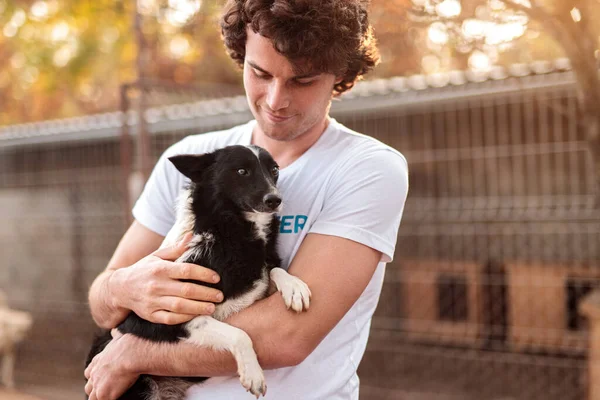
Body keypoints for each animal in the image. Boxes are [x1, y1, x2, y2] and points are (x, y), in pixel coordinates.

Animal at [89, 145, 314, 400]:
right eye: (241, 171)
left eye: (274, 169)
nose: (275, 199)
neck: (229, 232)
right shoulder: (167, 319)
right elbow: (239, 334)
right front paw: (253, 373)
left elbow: (274, 268)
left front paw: (294, 286)